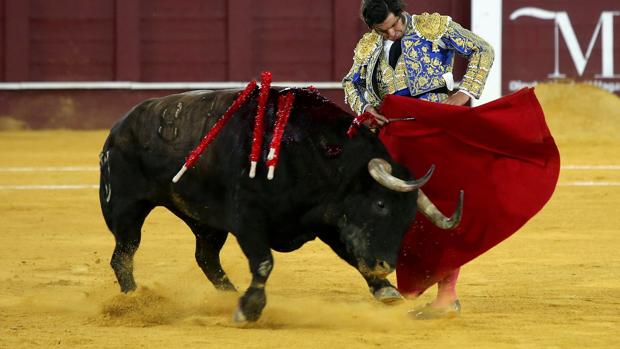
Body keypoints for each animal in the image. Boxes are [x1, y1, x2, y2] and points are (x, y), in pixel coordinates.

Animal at [99, 87, 460, 320]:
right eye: (381, 205)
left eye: (409, 217)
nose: (386, 265)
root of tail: (118, 128)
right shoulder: (248, 219)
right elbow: (263, 262)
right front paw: (250, 309)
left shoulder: (328, 219)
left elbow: (351, 254)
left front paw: (385, 290)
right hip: (125, 208)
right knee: (124, 255)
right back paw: (134, 301)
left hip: (205, 222)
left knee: (206, 257)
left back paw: (227, 295)